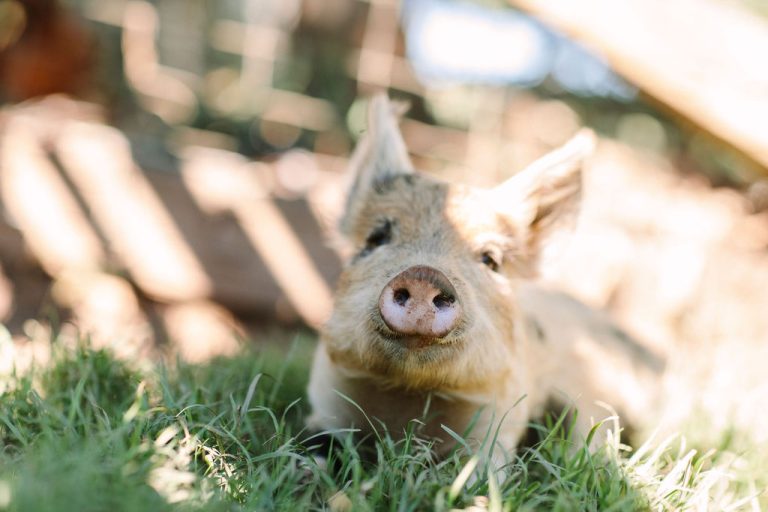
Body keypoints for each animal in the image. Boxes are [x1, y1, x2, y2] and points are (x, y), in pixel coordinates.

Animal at [306, 95, 664, 461]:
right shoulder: (324, 397)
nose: (423, 273)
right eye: (375, 239)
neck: (408, 401)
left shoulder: (500, 424)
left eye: (490, 260)